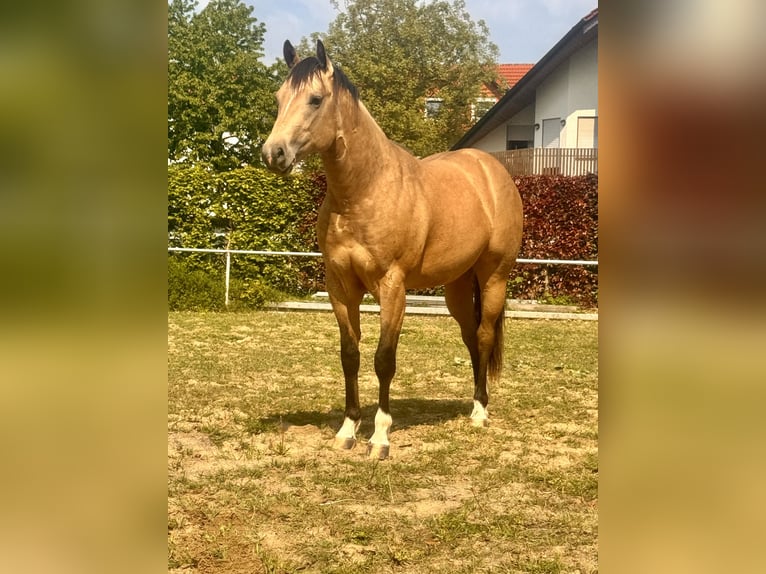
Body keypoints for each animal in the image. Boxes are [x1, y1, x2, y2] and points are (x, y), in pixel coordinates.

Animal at [262, 39, 523, 460]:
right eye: (279, 97)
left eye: (315, 99)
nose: (274, 153)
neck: (365, 190)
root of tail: (490, 169)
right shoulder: (340, 288)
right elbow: (349, 356)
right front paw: (348, 429)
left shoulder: (392, 287)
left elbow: (384, 359)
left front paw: (380, 437)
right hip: (457, 286)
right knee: (470, 338)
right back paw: (472, 402)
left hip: (494, 276)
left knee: (483, 336)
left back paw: (480, 412)